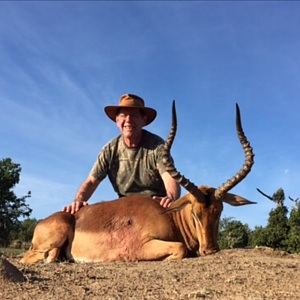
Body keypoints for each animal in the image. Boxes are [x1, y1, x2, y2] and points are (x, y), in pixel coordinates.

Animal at [20, 102, 255, 264]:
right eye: (195, 213)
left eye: (219, 211)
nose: (210, 250)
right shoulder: (144, 246)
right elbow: (180, 249)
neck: (172, 219)